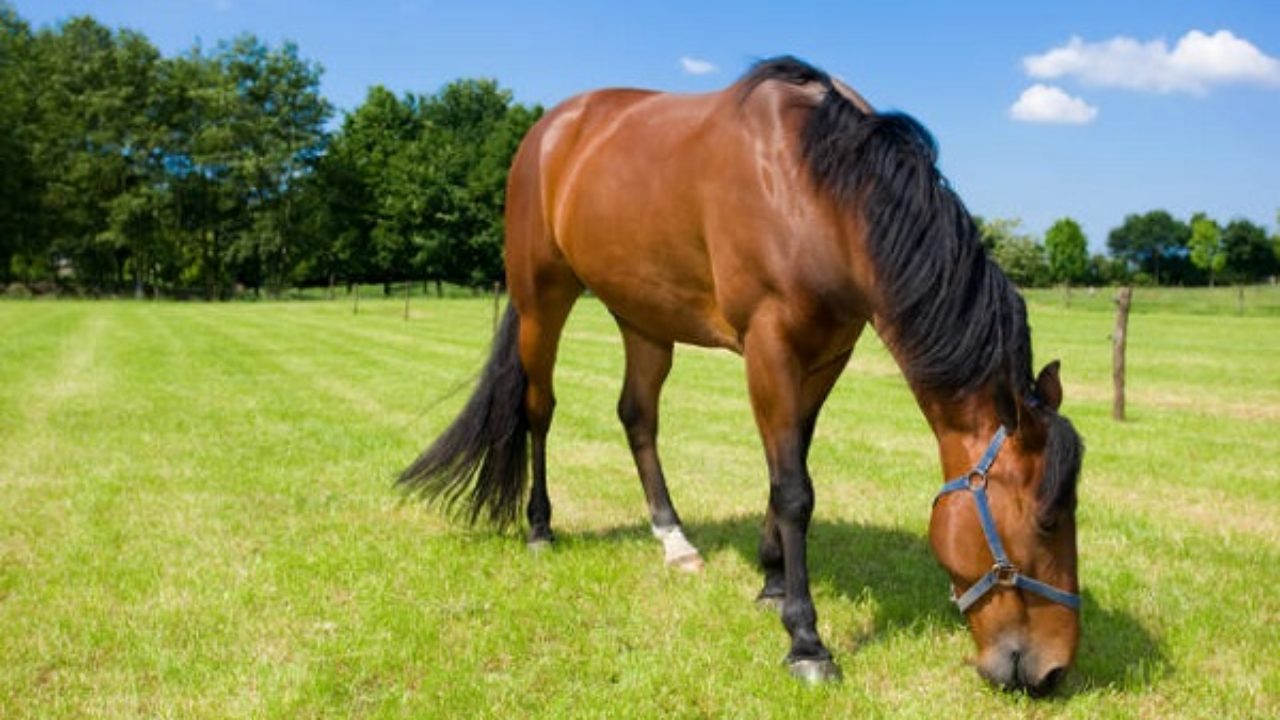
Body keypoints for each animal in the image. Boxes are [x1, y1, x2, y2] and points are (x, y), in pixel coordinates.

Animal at [399, 56, 1080, 691]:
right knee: (539, 409)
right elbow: (795, 489)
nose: (1052, 670)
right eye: (1046, 520)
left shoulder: (828, 355)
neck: (819, 189)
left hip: (643, 318)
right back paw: (540, 528)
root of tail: (548, 130)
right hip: (544, 297)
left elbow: (786, 470)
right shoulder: (769, 345)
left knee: (637, 415)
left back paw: (674, 540)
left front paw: (773, 582)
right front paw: (806, 640)